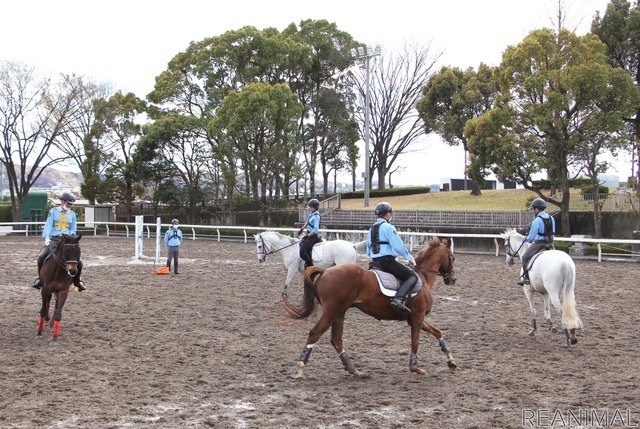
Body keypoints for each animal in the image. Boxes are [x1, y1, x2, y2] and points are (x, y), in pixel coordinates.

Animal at [284, 236, 456, 376]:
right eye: (452, 258)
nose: (453, 279)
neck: (423, 277)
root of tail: (325, 271)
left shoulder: (414, 317)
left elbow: (437, 332)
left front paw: (450, 360)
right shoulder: (417, 317)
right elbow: (416, 341)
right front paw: (415, 367)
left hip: (339, 312)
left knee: (336, 340)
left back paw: (354, 370)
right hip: (331, 312)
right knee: (315, 333)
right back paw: (301, 368)